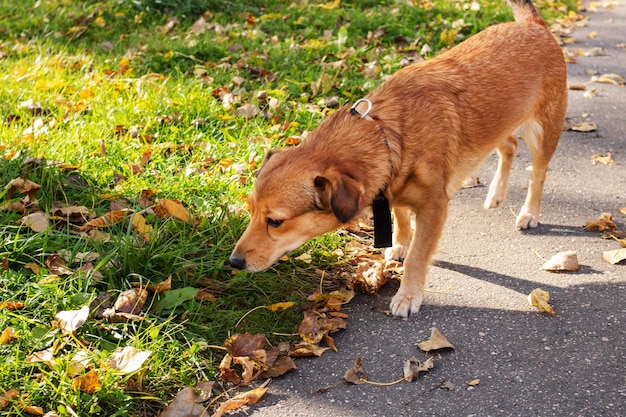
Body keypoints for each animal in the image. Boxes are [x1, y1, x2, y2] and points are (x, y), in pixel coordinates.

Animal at [228, 0, 564, 316]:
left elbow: (418, 256)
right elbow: (401, 217)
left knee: (538, 173)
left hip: (542, 132)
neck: (386, 134)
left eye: (275, 222)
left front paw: (408, 294)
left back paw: (529, 212)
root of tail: (534, 25)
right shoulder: (392, 189)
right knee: (509, 144)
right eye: (250, 210)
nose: (233, 262)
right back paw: (496, 194)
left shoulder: (435, 208)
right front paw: (401, 242)